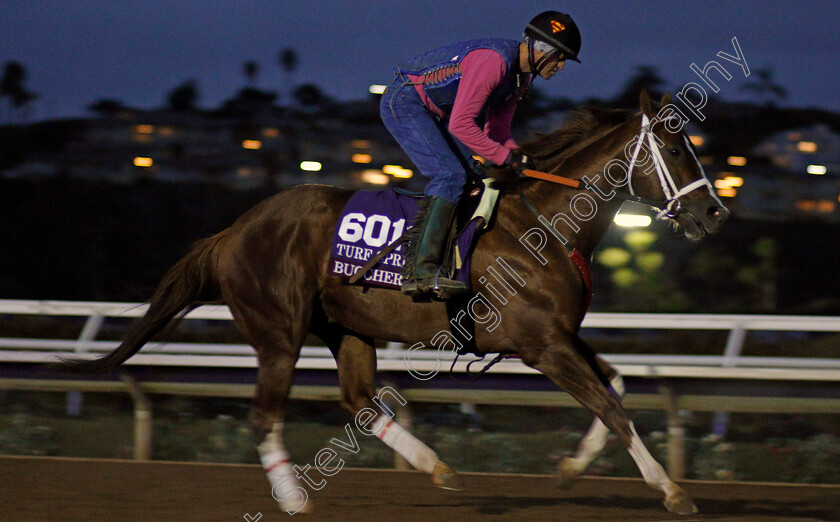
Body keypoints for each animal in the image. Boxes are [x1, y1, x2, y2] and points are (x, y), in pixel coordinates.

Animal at [59, 90, 728, 512]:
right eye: (675, 150)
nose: (713, 213)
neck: (544, 224)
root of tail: (233, 231)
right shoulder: (541, 344)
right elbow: (612, 406)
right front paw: (672, 491)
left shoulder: (562, 335)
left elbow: (617, 387)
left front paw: (572, 467)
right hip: (279, 332)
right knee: (265, 414)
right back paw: (295, 499)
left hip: (347, 327)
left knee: (359, 401)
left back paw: (439, 469)